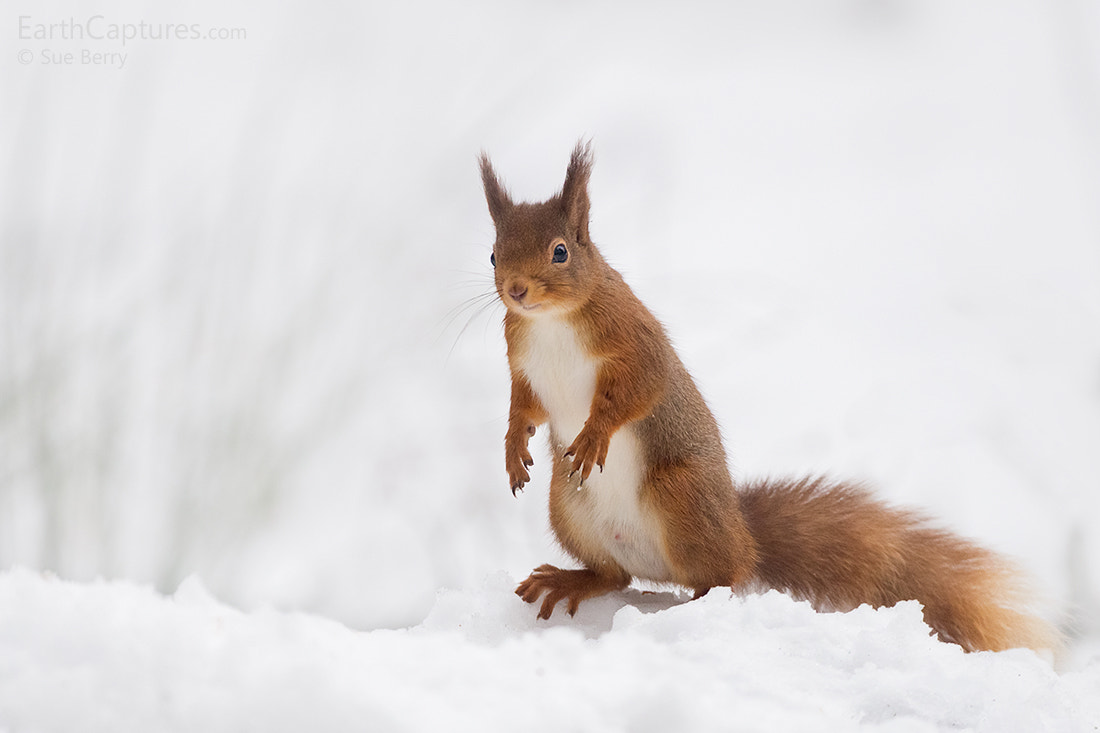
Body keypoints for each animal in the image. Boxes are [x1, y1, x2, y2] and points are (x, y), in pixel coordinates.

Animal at [479, 141, 1057, 653]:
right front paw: (512, 448)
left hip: (681, 496)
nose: (516, 290)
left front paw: (594, 435)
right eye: (491, 255)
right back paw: (573, 579)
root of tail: (742, 532)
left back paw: (697, 601)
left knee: (725, 577)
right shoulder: (521, 362)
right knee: (616, 577)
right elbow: (522, 407)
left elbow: (638, 393)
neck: (551, 322)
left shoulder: (635, 343)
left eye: (560, 252)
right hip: (568, 508)